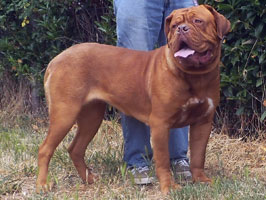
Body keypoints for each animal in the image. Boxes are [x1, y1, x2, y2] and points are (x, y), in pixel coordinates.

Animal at [37, 4, 231, 195]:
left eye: (198, 21)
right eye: (175, 25)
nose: (181, 29)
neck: (195, 75)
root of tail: (56, 59)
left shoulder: (203, 122)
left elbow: (198, 155)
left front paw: (201, 180)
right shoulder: (160, 124)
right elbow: (163, 161)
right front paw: (169, 187)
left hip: (91, 116)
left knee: (75, 149)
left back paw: (89, 179)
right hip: (65, 113)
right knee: (45, 149)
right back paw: (42, 185)